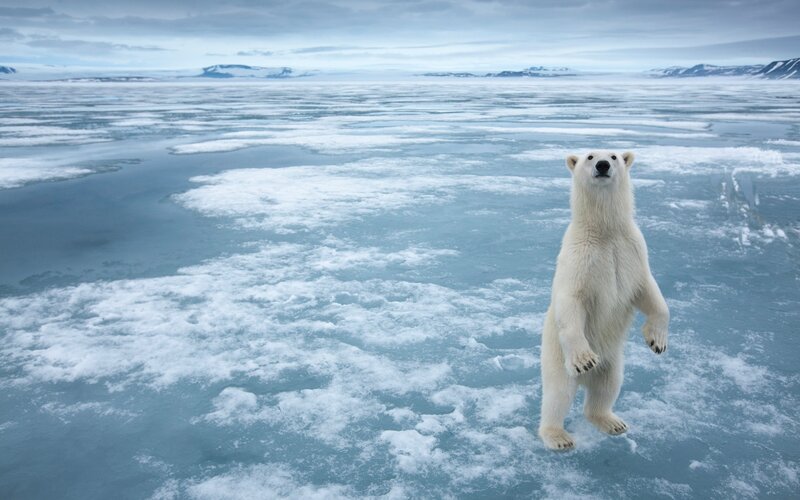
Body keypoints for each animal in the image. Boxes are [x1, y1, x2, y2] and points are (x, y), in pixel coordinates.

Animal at [538, 150, 670, 450]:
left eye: (614, 155)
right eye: (589, 156)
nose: (602, 165)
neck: (605, 231)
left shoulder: (633, 251)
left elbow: (649, 292)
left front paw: (657, 341)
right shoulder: (579, 258)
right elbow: (571, 301)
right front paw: (585, 359)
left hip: (613, 361)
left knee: (607, 387)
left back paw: (612, 422)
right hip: (556, 356)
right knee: (558, 394)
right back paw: (558, 436)